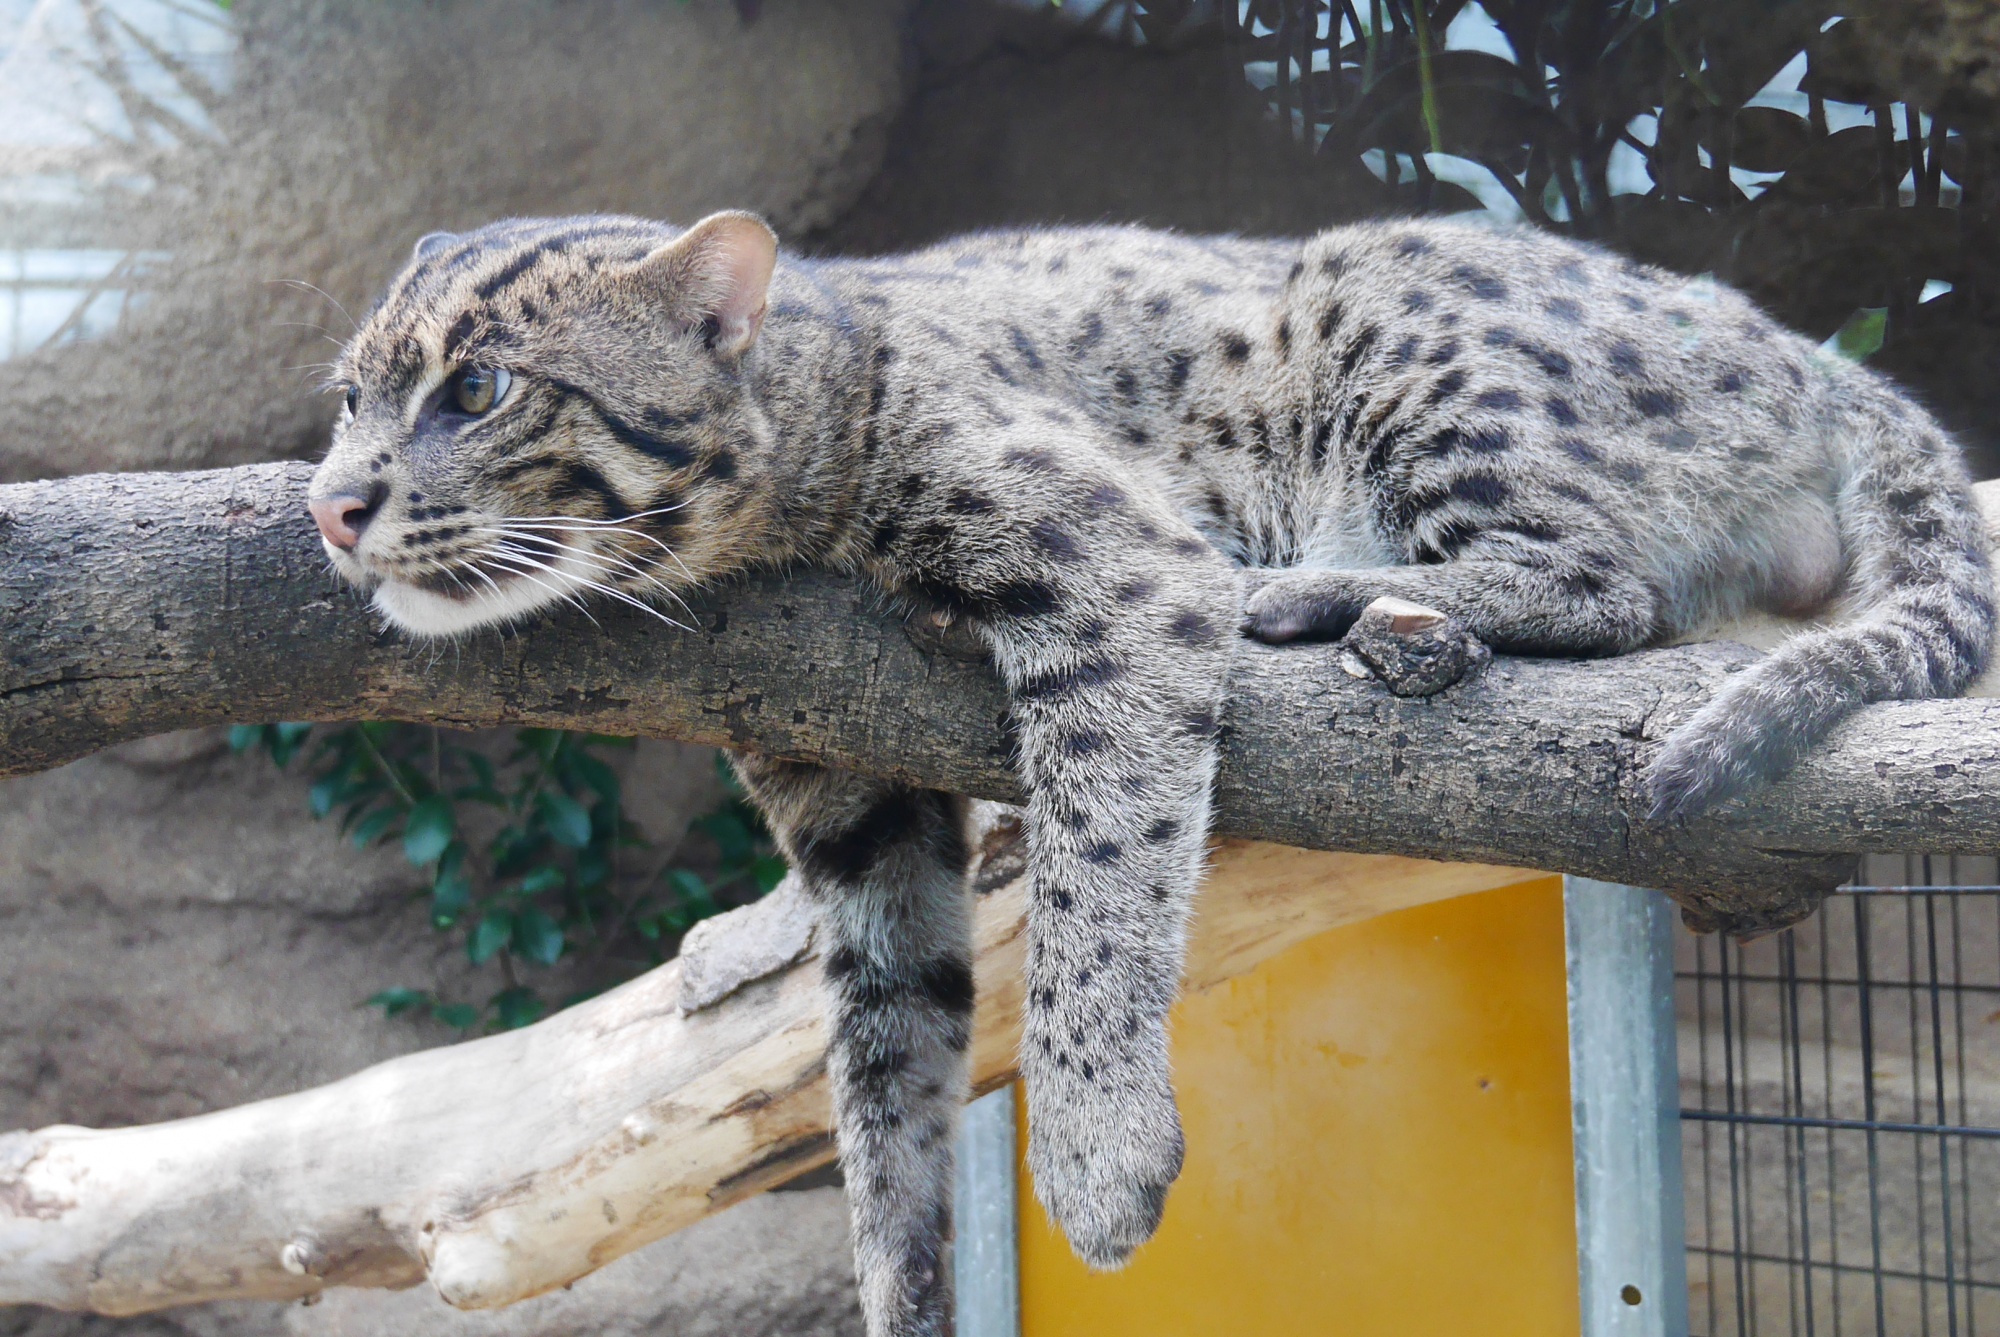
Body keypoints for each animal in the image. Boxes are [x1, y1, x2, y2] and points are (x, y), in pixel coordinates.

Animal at [304, 211, 1992, 1337]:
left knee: (1609, 585)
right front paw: (898, 1277)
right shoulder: (847, 805)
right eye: (347, 397)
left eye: (478, 391)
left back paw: (1335, 599)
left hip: (1404, 329)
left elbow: (1095, 889)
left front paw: (1100, 1157)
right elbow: (879, 1054)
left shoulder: (1111, 568)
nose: (329, 504)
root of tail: (1814, 361)